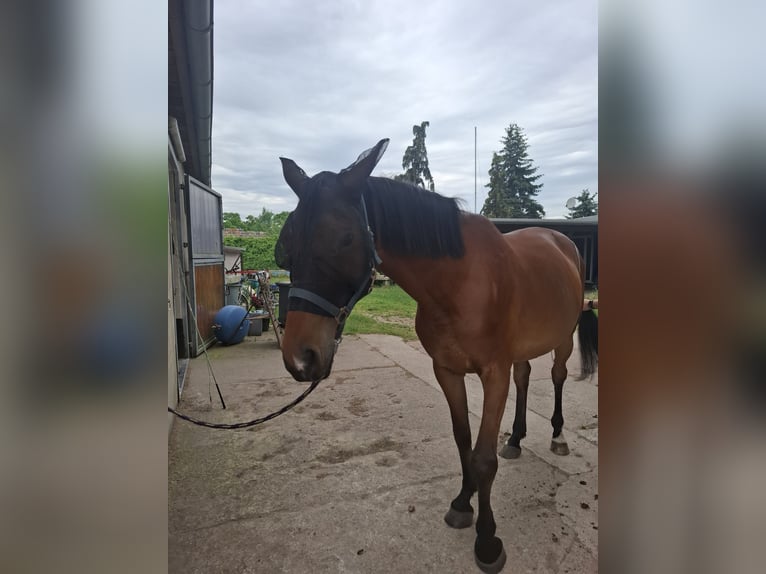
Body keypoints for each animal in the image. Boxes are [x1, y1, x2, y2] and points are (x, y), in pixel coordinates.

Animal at [275, 139, 598, 573]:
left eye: (344, 239)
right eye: (288, 245)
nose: (300, 357)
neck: (459, 283)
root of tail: (561, 242)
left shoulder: (492, 373)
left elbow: (483, 458)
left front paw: (487, 541)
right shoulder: (446, 370)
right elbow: (463, 441)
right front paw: (463, 503)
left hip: (562, 338)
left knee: (559, 376)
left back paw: (558, 436)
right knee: (526, 376)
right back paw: (515, 438)